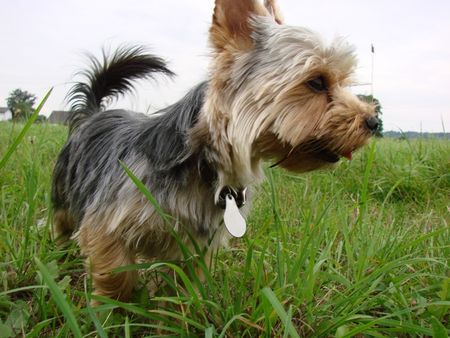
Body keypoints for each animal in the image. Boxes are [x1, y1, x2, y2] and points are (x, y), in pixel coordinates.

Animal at [51, 0, 376, 302]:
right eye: (317, 82)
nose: (373, 121)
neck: (204, 165)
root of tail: (93, 114)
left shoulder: (196, 246)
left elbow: (186, 285)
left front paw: (178, 309)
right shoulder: (105, 224)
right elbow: (116, 274)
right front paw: (111, 311)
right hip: (64, 194)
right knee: (61, 223)